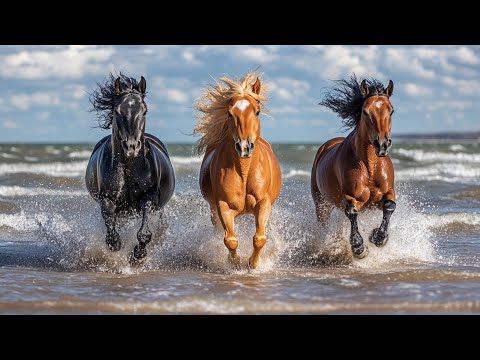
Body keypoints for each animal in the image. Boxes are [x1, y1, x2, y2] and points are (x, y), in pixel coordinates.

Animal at [85, 73, 175, 264]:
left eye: (144, 110)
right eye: (117, 111)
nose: (131, 147)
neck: (129, 168)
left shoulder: (149, 197)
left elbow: (145, 233)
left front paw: (137, 256)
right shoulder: (107, 199)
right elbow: (111, 233)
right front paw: (117, 246)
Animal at [193, 71, 282, 268]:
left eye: (257, 111)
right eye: (229, 113)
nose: (244, 147)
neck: (244, 171)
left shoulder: (263, 204)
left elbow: (259, 238)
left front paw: (253, 264)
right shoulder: (223, 206)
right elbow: (230, 240)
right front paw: (235, 262)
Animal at [314, 74, 396, 258]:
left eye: (391, 110)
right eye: (365, 111)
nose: (382, 144)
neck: (370, 166)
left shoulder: (387, 192)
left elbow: (389, 206)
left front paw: (378, 237)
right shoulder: (352, 197)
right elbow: (351, 213)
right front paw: (359, 247)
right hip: (322, 204)